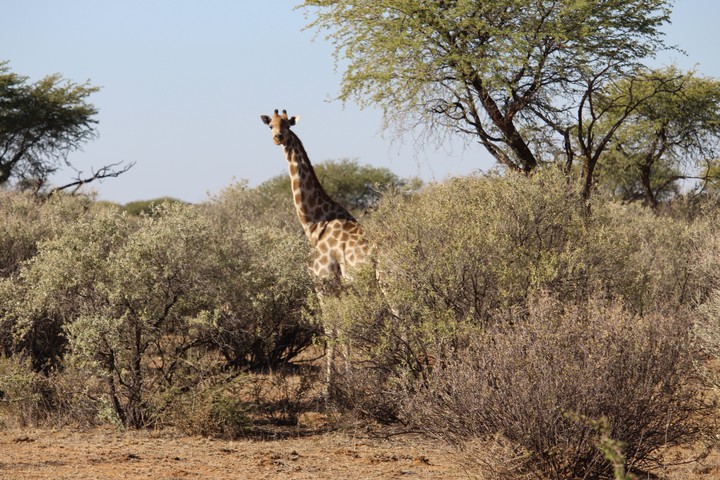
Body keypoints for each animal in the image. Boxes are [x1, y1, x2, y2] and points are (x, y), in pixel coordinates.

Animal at [260, 109, 368, 393]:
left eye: (287, 125)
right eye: (271, 125)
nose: (278, 138)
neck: (315, 222)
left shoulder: (323, 280)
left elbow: (331, 329)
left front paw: (328, 387)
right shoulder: (340, 286)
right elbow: (343, 329)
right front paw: (348, 380)